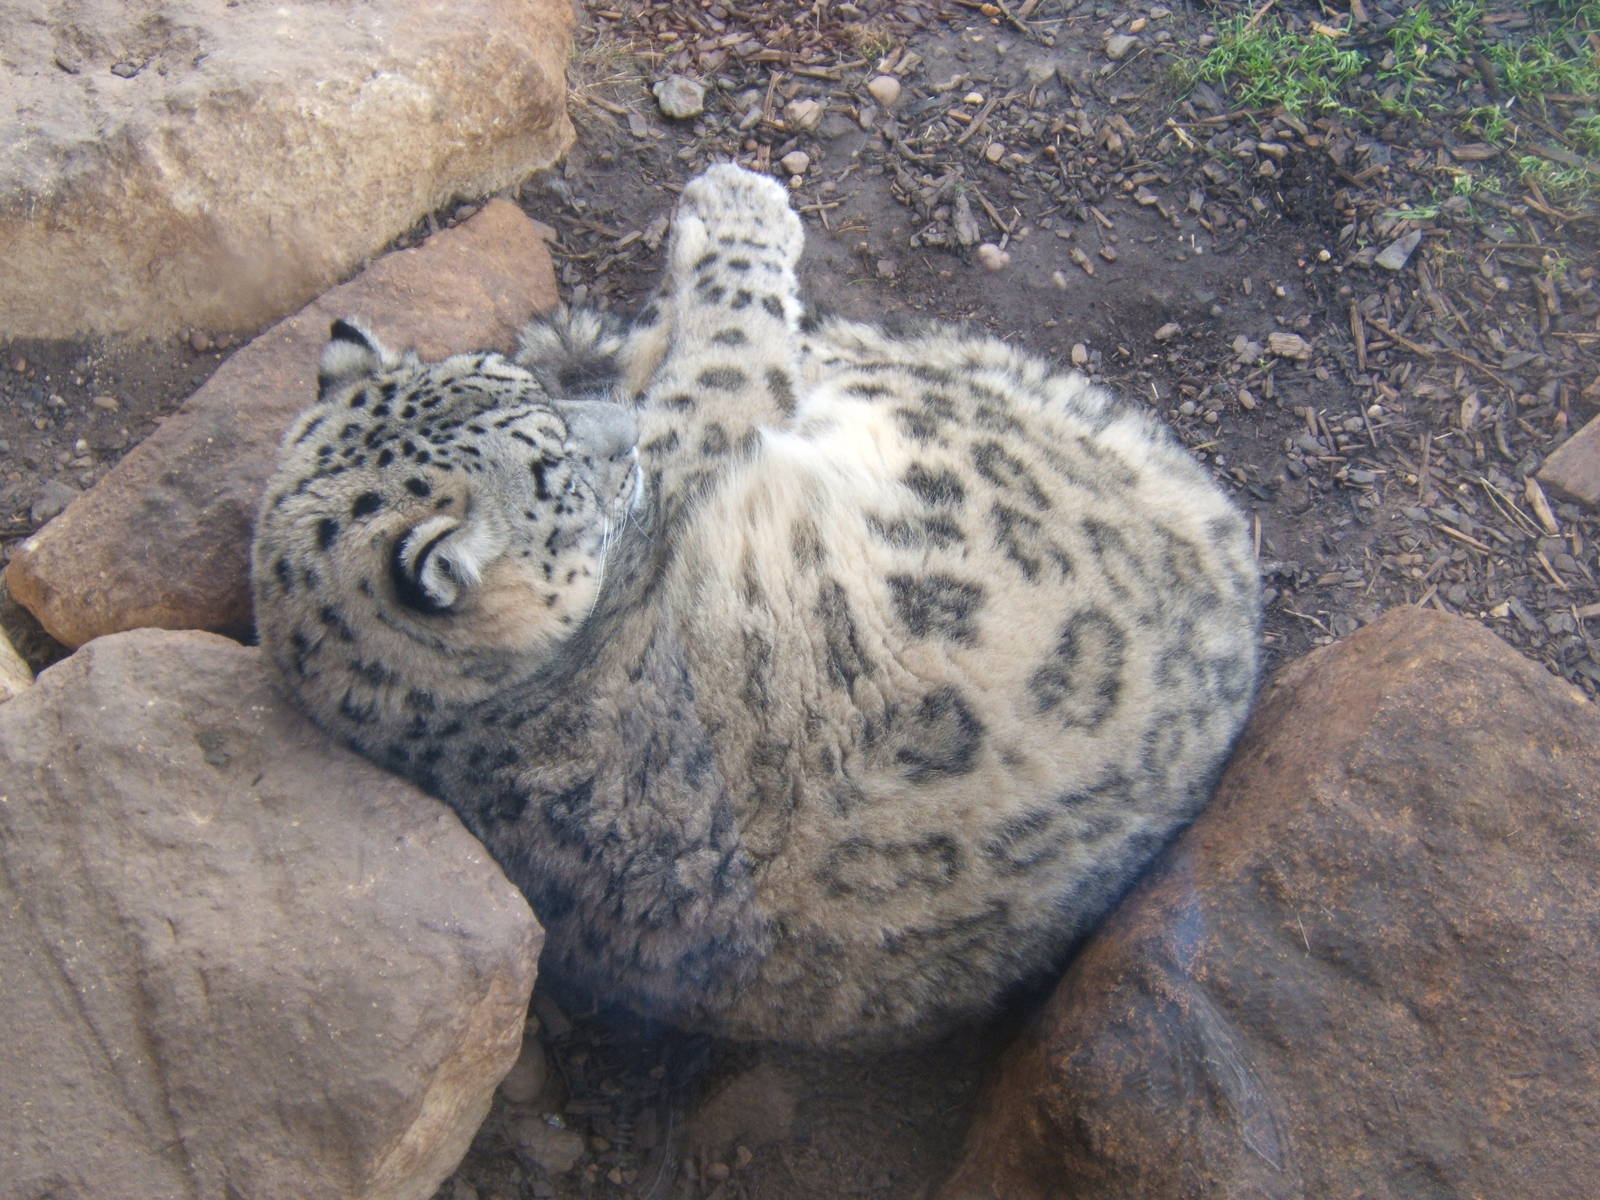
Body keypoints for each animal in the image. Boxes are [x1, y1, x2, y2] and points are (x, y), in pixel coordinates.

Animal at [251, 164, 1261, 1047]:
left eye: (517, 384)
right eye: (553, 475)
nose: (624, 435)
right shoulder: (709, 427)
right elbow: (733, 346)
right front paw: (741, 207)